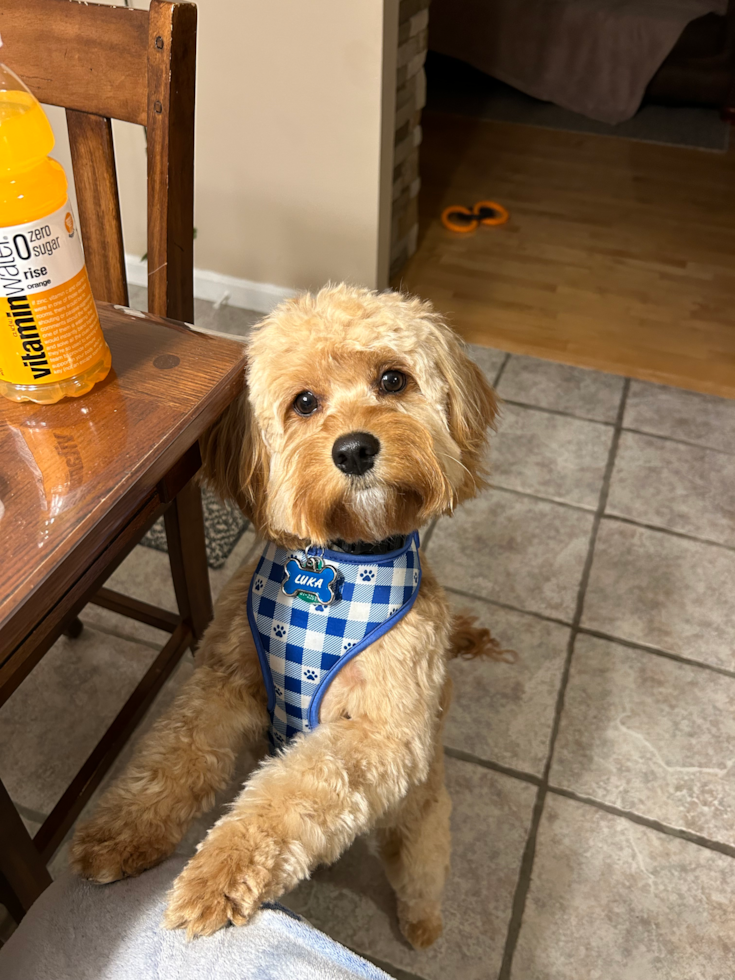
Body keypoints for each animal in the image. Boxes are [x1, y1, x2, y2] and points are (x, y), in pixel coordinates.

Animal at [69, 284, 504, 948]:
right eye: (304, 401)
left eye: (393, 379)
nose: (354, 449)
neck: (341, 563)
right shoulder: (225, 681)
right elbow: (174, 756)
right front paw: (123, 831)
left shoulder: (380, 733)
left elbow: (289, 794)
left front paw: (216, 873)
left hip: (421, 805)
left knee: (422, 858)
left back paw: (421, 923)